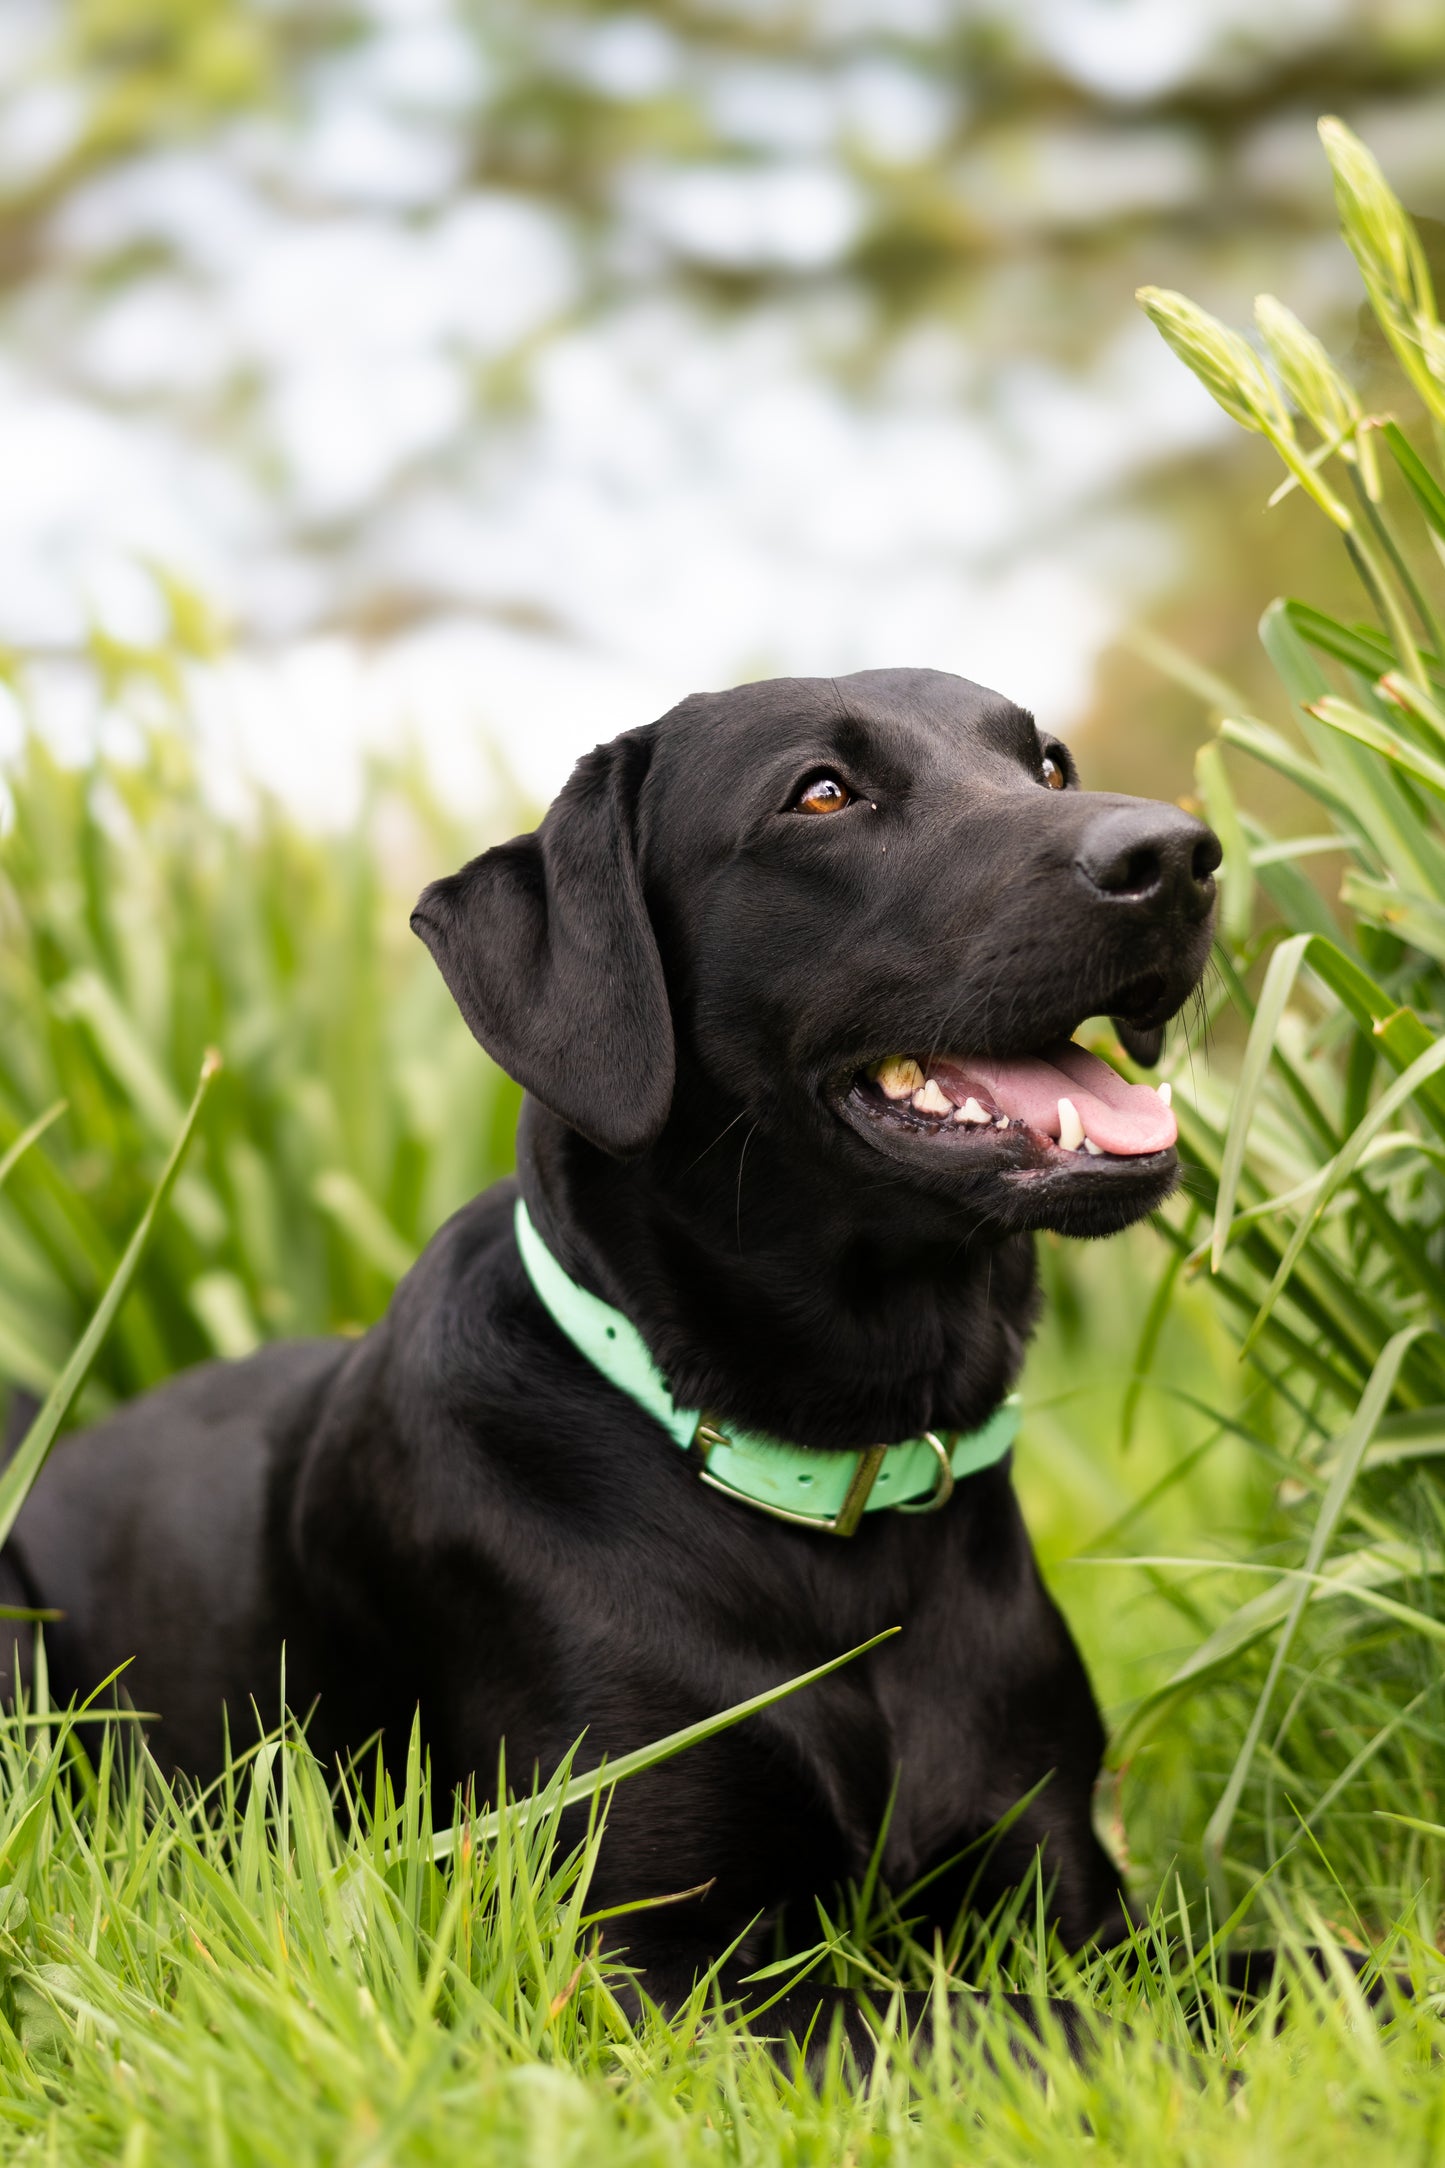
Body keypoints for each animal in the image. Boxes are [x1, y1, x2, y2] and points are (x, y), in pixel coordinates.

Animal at [0, 663, 1221, 2046]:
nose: (1177, 855)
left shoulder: (1073, 1891)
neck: (820, 1470)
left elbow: (1263, 1972)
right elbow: (1024, 2022)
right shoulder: (633, 1962)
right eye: (821, 793)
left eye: (1048, 765)